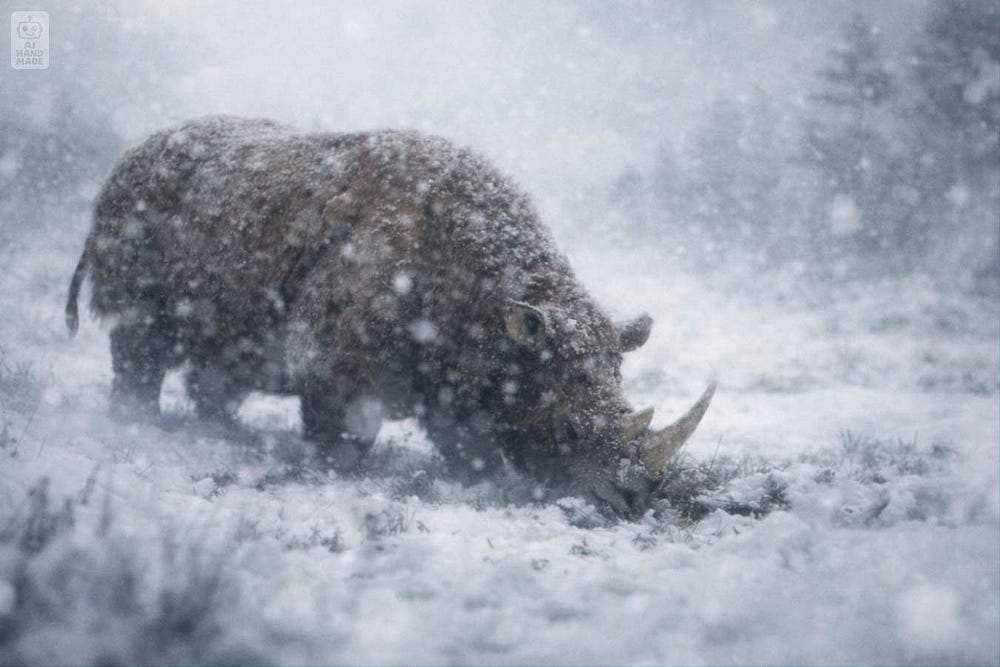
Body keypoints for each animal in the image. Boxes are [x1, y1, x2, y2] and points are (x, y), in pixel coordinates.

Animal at [66, 115, 714, 519]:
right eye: (568, 432)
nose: (634, 500)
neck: (491, 309)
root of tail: (120, 165)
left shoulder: (457, 371)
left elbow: (467, 440)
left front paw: (479, 481)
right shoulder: (335, 359)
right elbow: (344, 434)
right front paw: (332, 477)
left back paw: (221, 433)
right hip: (132, 220)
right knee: (138, 347)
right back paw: (139, 426)